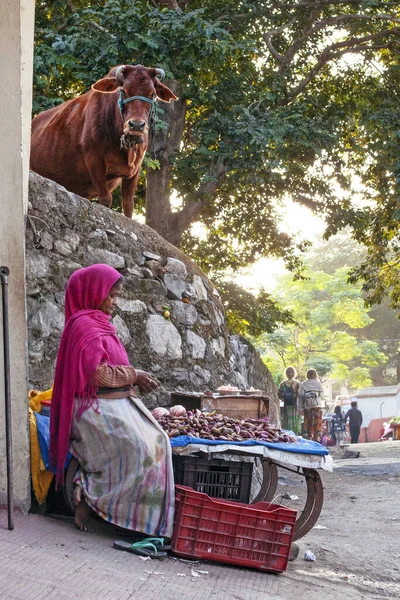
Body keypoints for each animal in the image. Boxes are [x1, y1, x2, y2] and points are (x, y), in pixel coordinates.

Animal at [29, 65, 177, 218]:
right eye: (123, 90)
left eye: (152, 93)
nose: (136, 125)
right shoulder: (95, 163)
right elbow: (106, 200)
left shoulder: (136, 169)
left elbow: (128, 205)